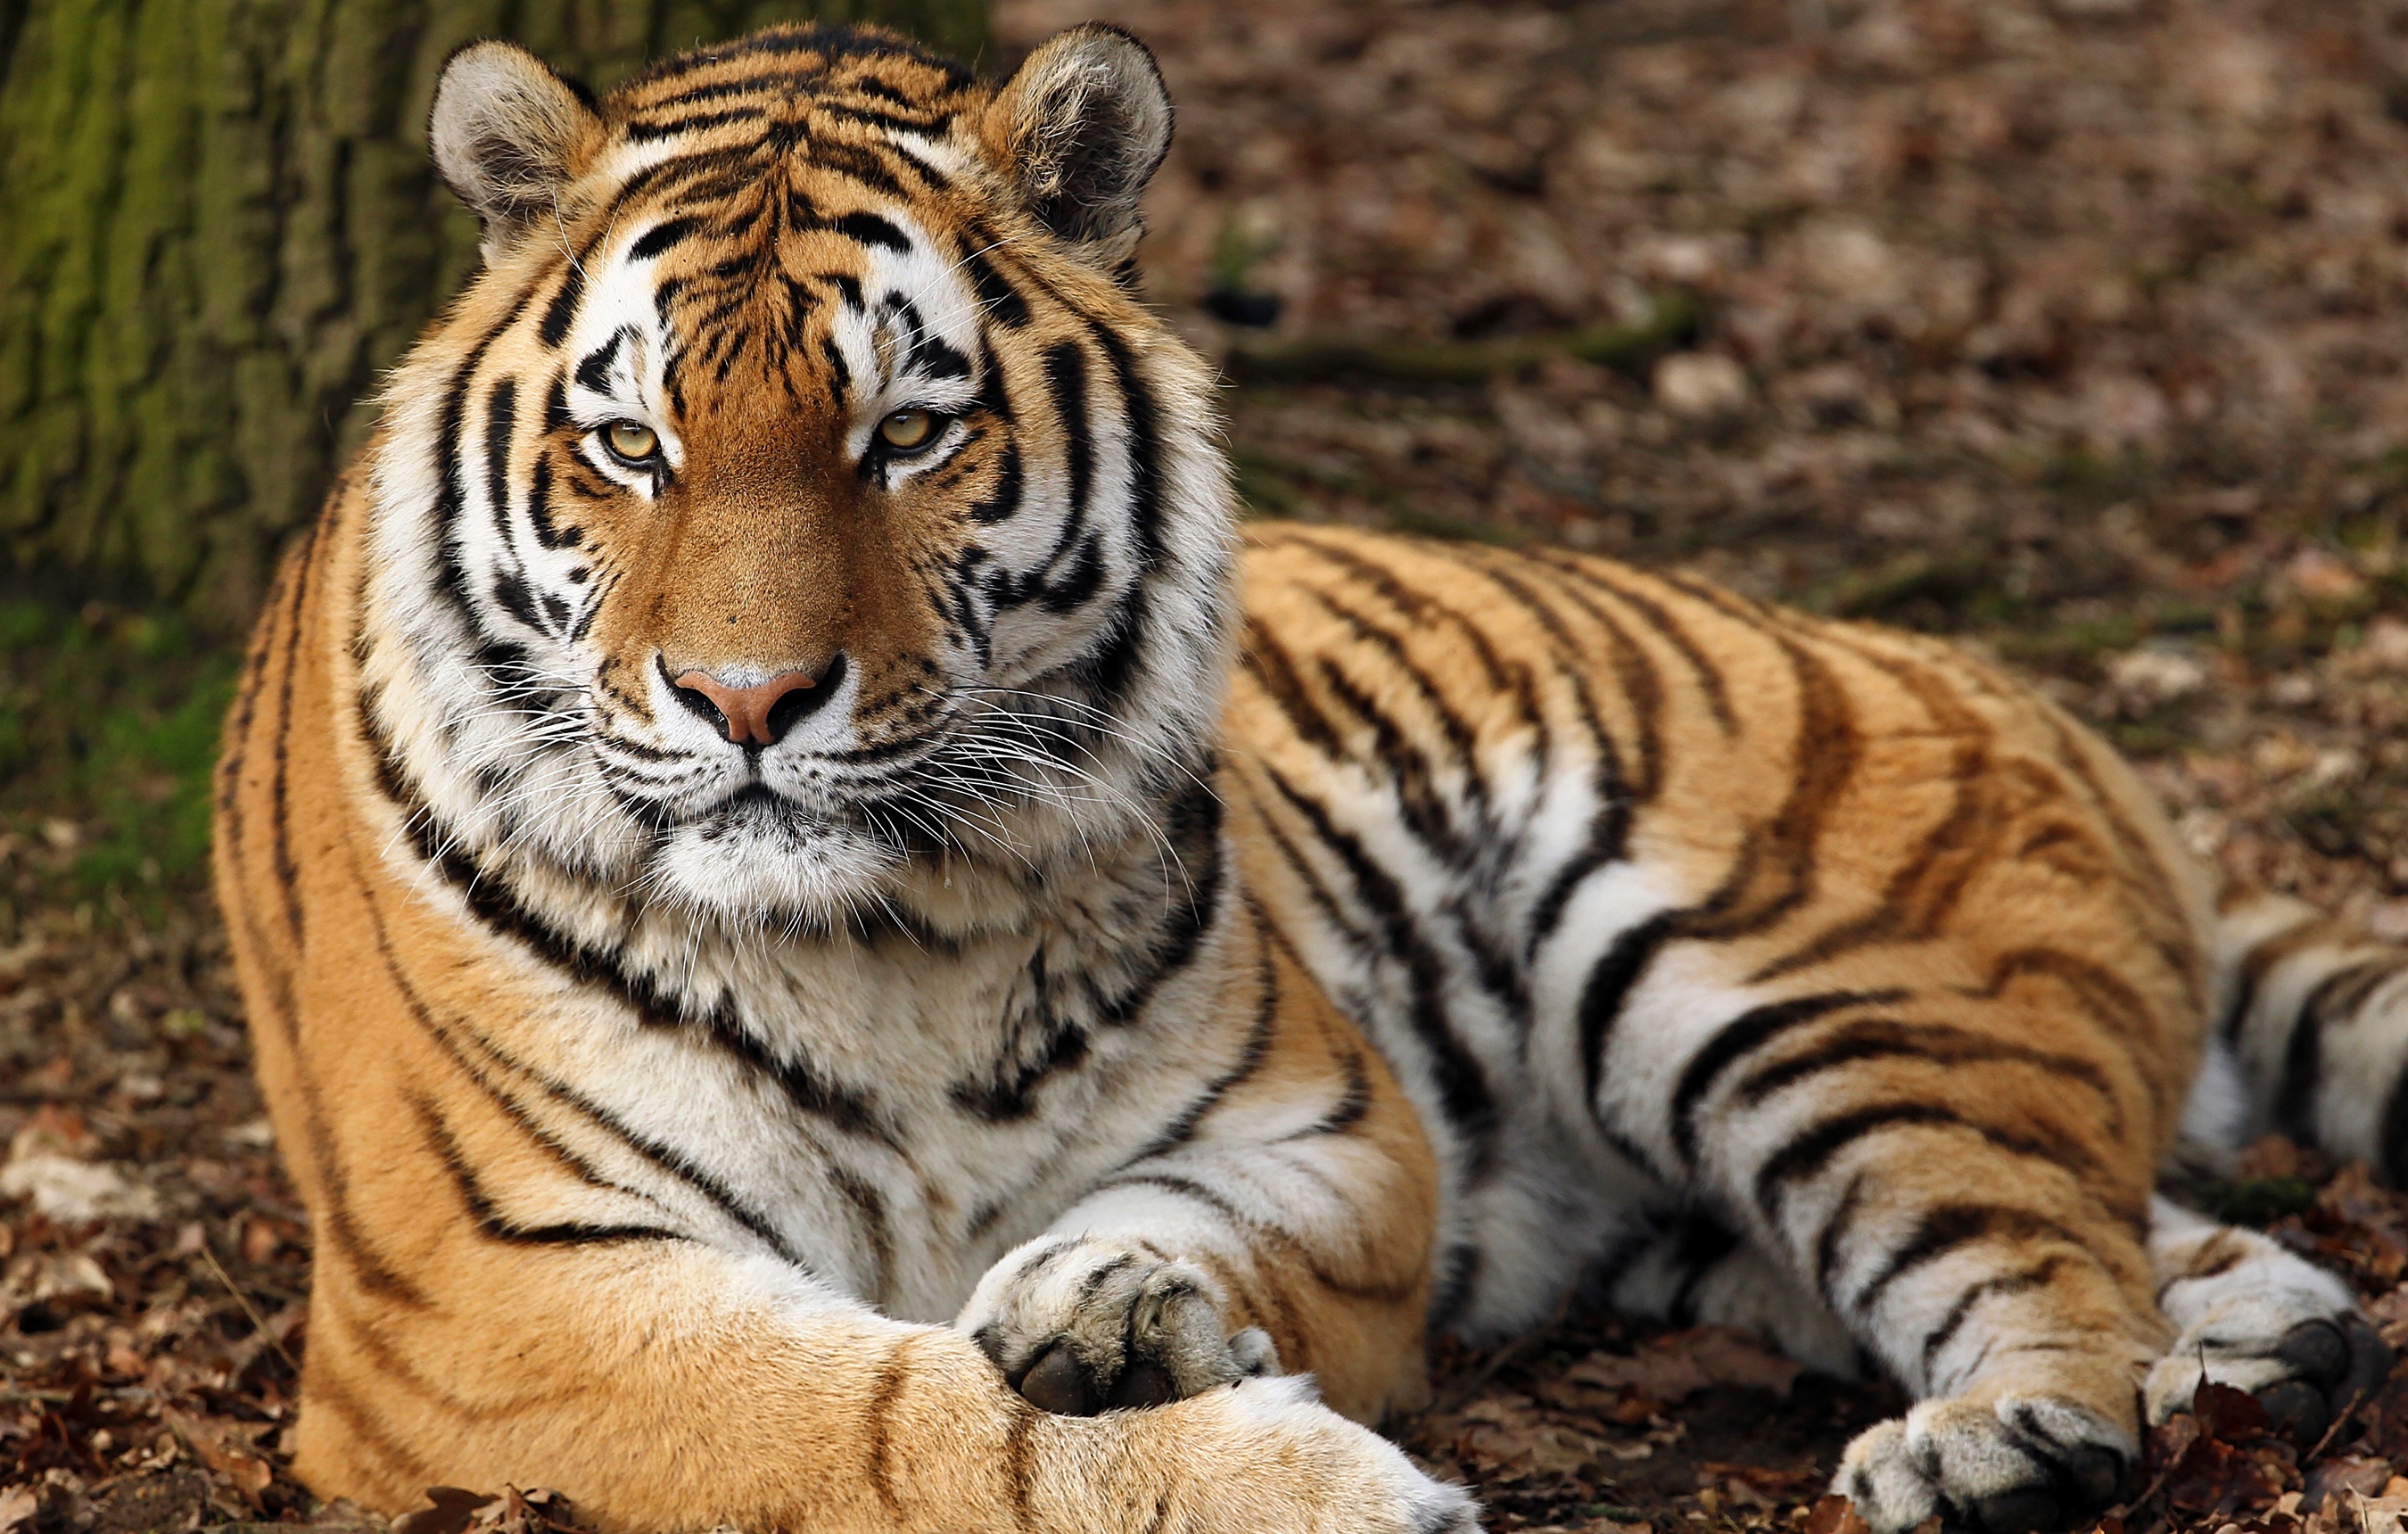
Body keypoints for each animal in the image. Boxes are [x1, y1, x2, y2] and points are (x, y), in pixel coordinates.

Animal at [211, 21, 2408, 1531]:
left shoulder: (1349, 1136)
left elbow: (1144, 1254)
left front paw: (1117, 1296)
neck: (875, 933)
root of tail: (1999, 683)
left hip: (1790, 982)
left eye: (907, 431)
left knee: (2049, 1252)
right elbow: (879, 1420)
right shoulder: (496, 1299)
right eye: (634, 445)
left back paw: (2011, 1441)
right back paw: (2272, 1339)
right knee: (2146, 1227)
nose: (750, 700)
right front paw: (1292, 1469)